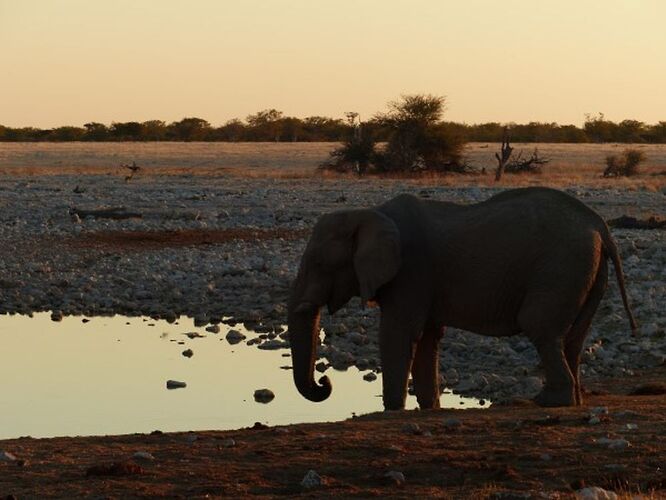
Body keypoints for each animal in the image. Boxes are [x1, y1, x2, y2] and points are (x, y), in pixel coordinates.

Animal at [286, 188, 640, 410]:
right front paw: (429, 408)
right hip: (587, 270)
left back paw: (548, 402)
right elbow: (428, 338)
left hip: (562, 265)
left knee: (540, 327)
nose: (325, 382)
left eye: (319, 264)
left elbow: (398, 334)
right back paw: (572, 401)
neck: (368, 215)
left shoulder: (411, 270)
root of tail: (600, 226)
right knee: (573, 339)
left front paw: (393, 411)